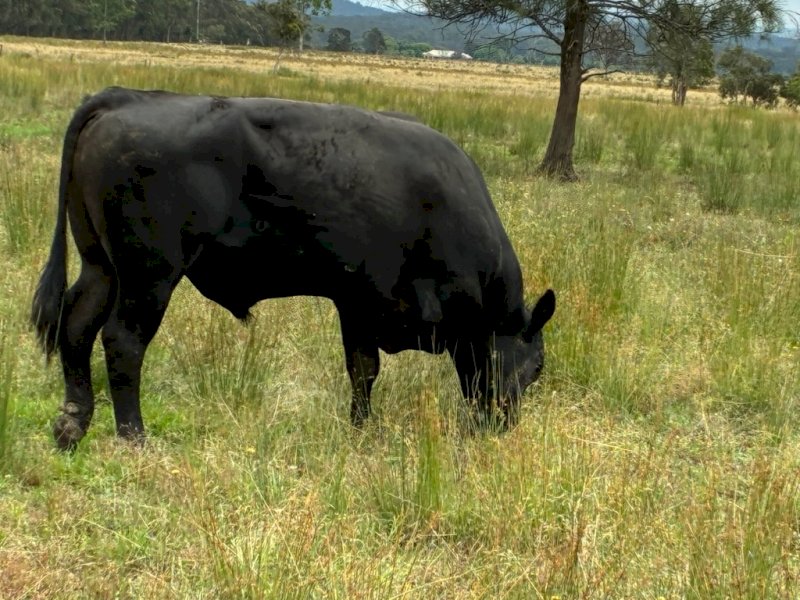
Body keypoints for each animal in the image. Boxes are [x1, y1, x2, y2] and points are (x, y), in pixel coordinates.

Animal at [31, 87, 555, 451]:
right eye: (536, 367)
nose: (503, 425)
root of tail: (125, 96)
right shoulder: (365, 299)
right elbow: (366, 369)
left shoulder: (355, 303)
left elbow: (360, 370)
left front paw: (359, 429)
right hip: (149, 275)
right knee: (122, 341)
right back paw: (133, 437)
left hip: (101, 266)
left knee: (75, 325)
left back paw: (72, 424)